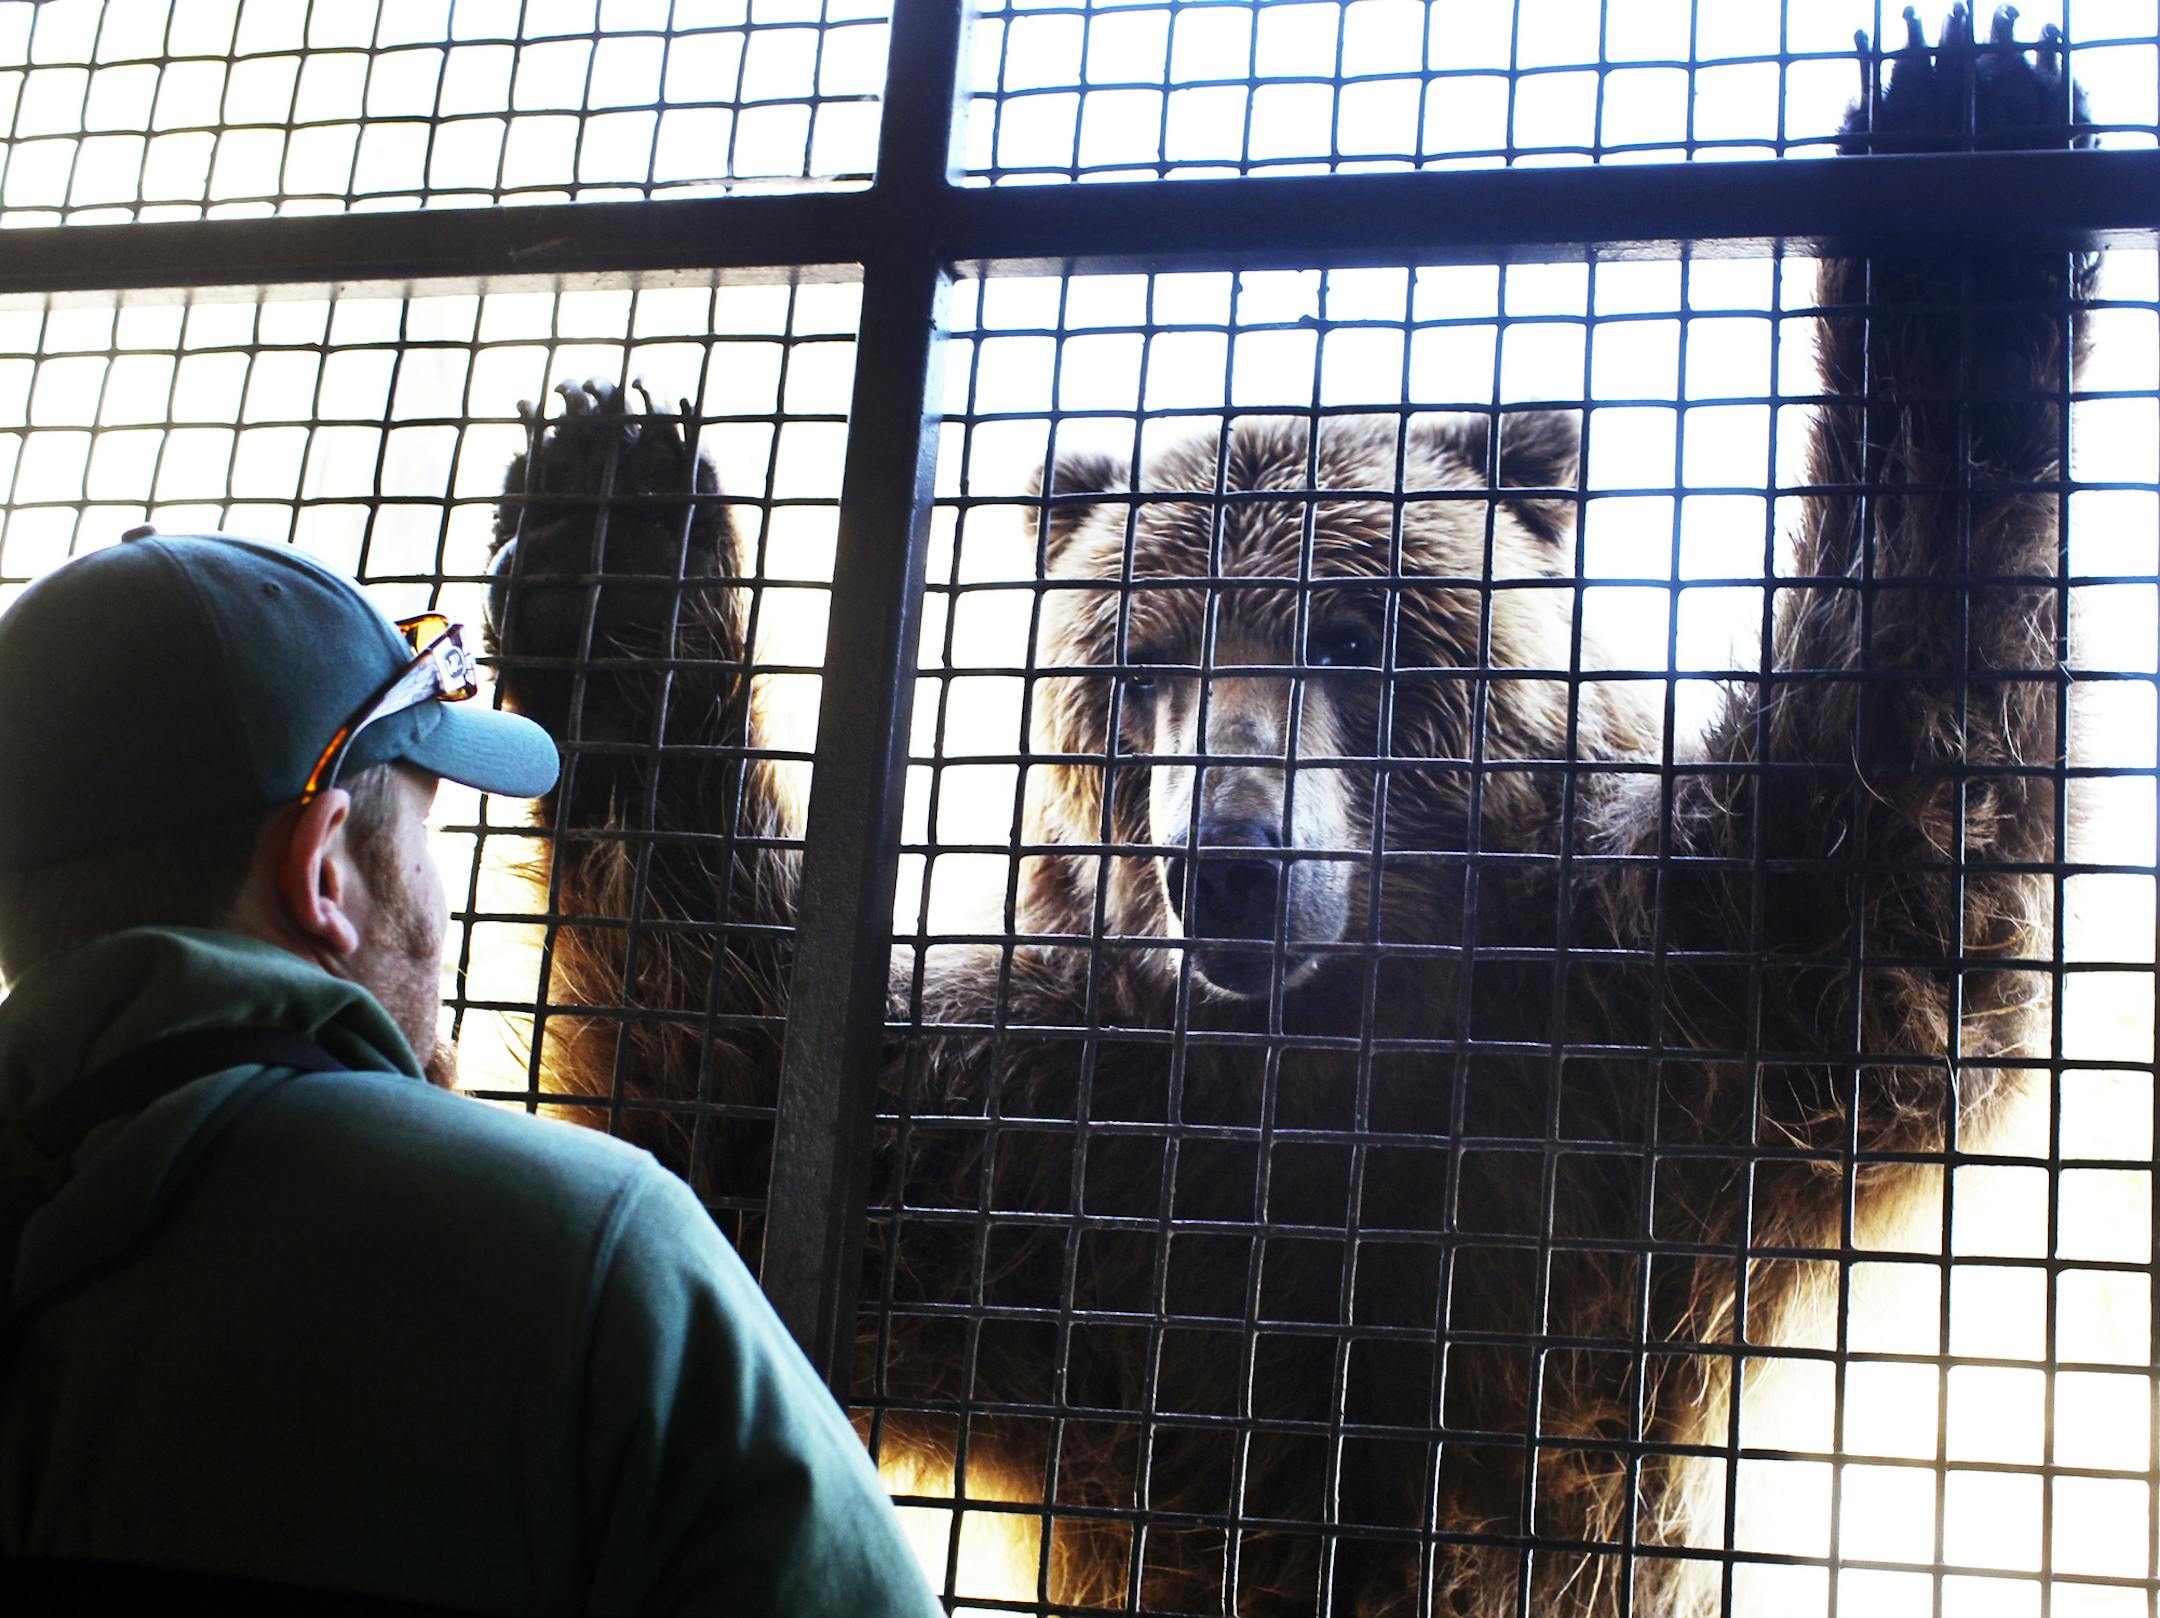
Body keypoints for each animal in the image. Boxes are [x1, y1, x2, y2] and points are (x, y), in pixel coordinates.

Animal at [483, 10, 2093, 1614]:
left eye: (1355, 634)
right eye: (1145, 660)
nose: (1233, 857)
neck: (1322, 1074)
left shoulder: (1632, 1081)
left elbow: (1886, 868)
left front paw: (1959, 183)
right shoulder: (1040, 1162)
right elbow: (729, 1117)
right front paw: (611, 533)